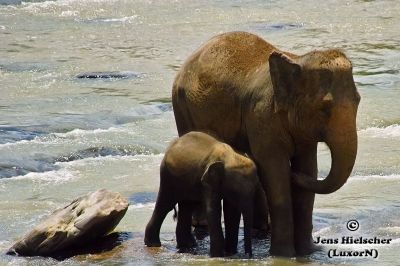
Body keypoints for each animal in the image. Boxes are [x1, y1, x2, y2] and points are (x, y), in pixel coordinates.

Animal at [170, 31, 360, 258]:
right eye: (324, 108)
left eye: (358, 100)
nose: (293, 176)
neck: (297, 60)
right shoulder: (262, 115)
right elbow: (274, 171)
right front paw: (284, 254)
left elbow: (308, 169)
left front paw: (308, 252)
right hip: (181, 107)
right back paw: (202, 224)